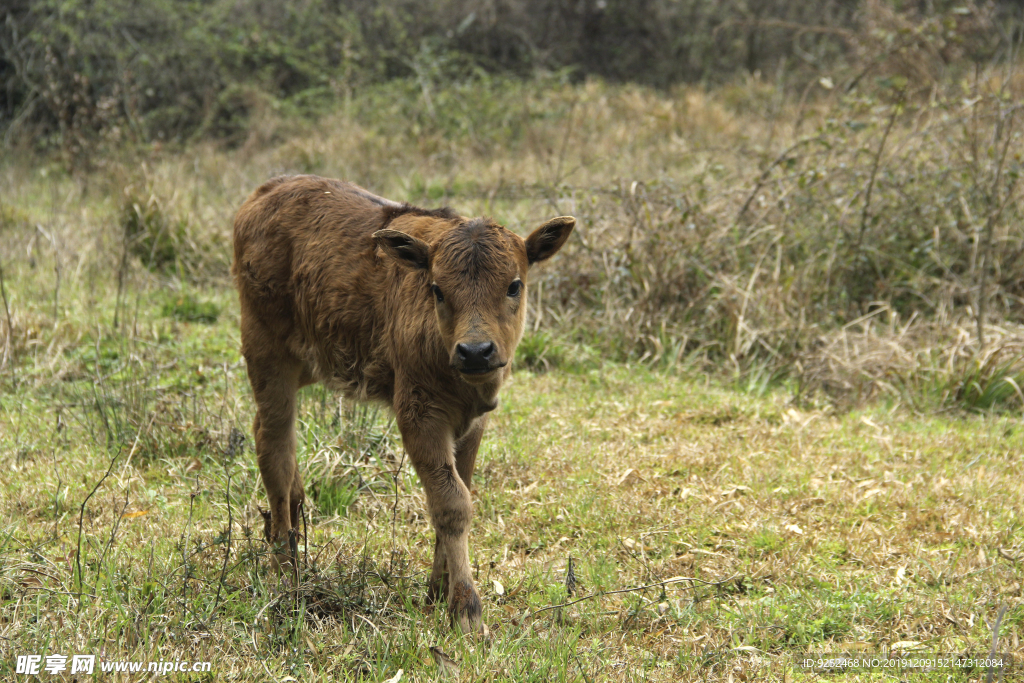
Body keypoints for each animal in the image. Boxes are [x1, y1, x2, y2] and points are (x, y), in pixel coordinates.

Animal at [230, 174, 577, 634]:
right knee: (275, 445)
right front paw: (467, 612)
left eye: (514, 285)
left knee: (274, 445)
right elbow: (451, 504)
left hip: (307, 361)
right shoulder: (418, 417)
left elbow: (459, 490)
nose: (476, 352)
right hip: (266, 354)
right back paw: (287, 573)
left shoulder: (472, 423)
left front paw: (437, 594)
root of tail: (268, 190)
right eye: (437, 290)